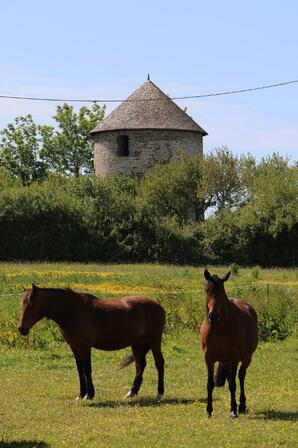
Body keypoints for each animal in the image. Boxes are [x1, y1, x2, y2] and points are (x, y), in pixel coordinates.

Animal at [17, 286, 165, 400]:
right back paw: (132, 392)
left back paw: (159, 393)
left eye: (31, 305)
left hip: (154, 340)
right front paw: (81, 394)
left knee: (159, 363)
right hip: (137, 342)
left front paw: (89, 394)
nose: (21, 328)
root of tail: (157, 305)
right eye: (22, 305)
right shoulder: (74, 347)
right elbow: (80, 369)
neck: (72, 311)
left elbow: (87, 369)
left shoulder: (85, 346)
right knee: (140, 365)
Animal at [200, 268, 258, 418]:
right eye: (207, 290)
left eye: (222, 292)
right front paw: (208, 410)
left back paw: (241, 405)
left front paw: (233, 410)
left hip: (247, 358)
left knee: (241, 376)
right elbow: (209, 384)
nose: (213, 316)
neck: (219, 328)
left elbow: (232, 384)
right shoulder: (208, 359)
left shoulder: (234, 359)